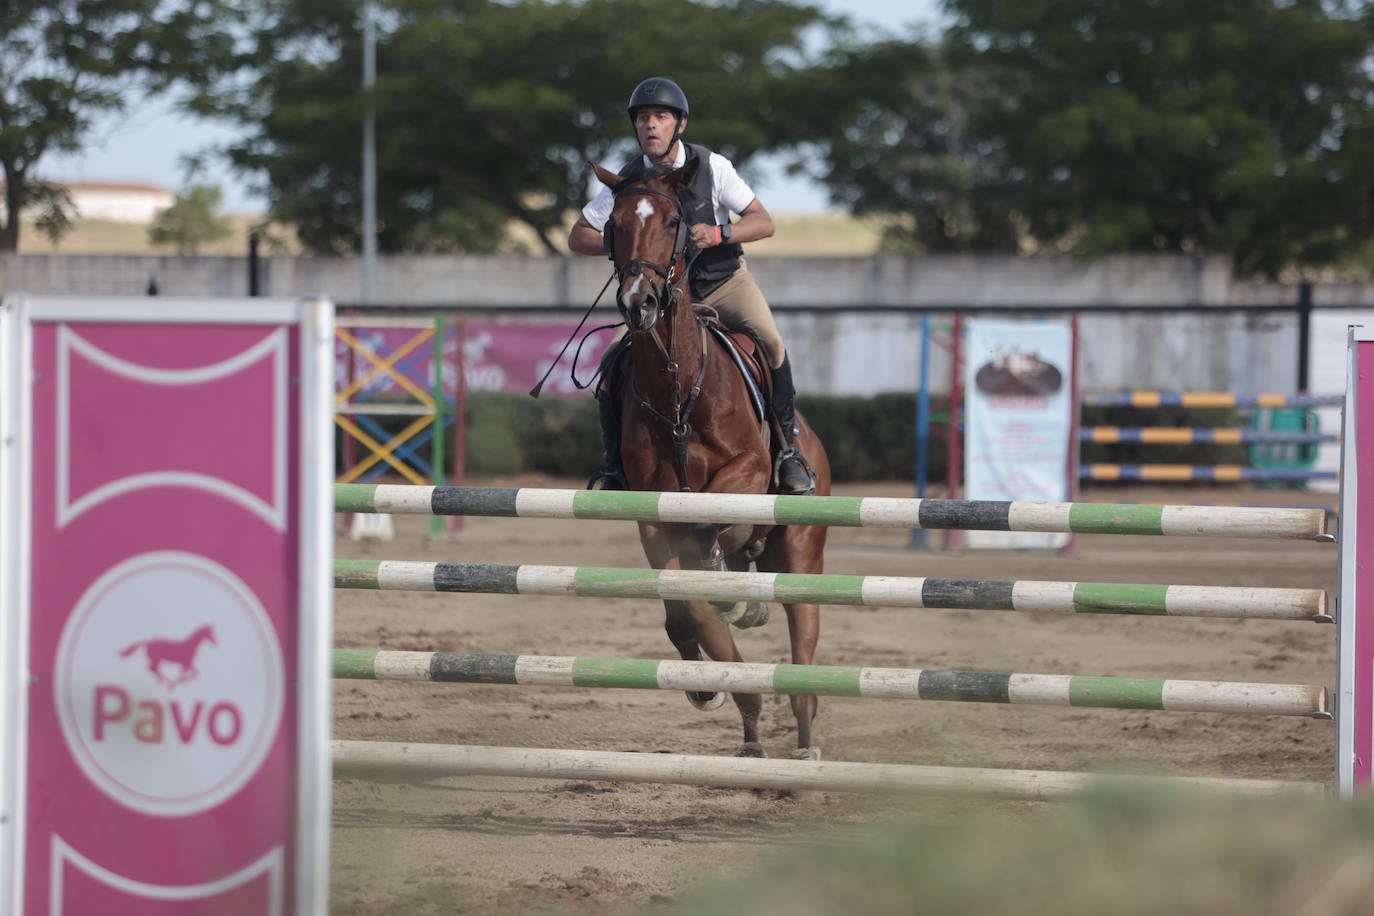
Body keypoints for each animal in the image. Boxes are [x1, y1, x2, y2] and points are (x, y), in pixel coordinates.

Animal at [588, 159, 824, 758]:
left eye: (675, 222)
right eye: (613, 225)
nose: (639, 303)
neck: (678, 388)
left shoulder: (746, 471)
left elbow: (708, 522)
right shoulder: (651, 515)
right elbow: (683, 605)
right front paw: (709, 685)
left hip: (802, 550)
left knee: (803, 642)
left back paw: (805, 742)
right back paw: (749, 728)